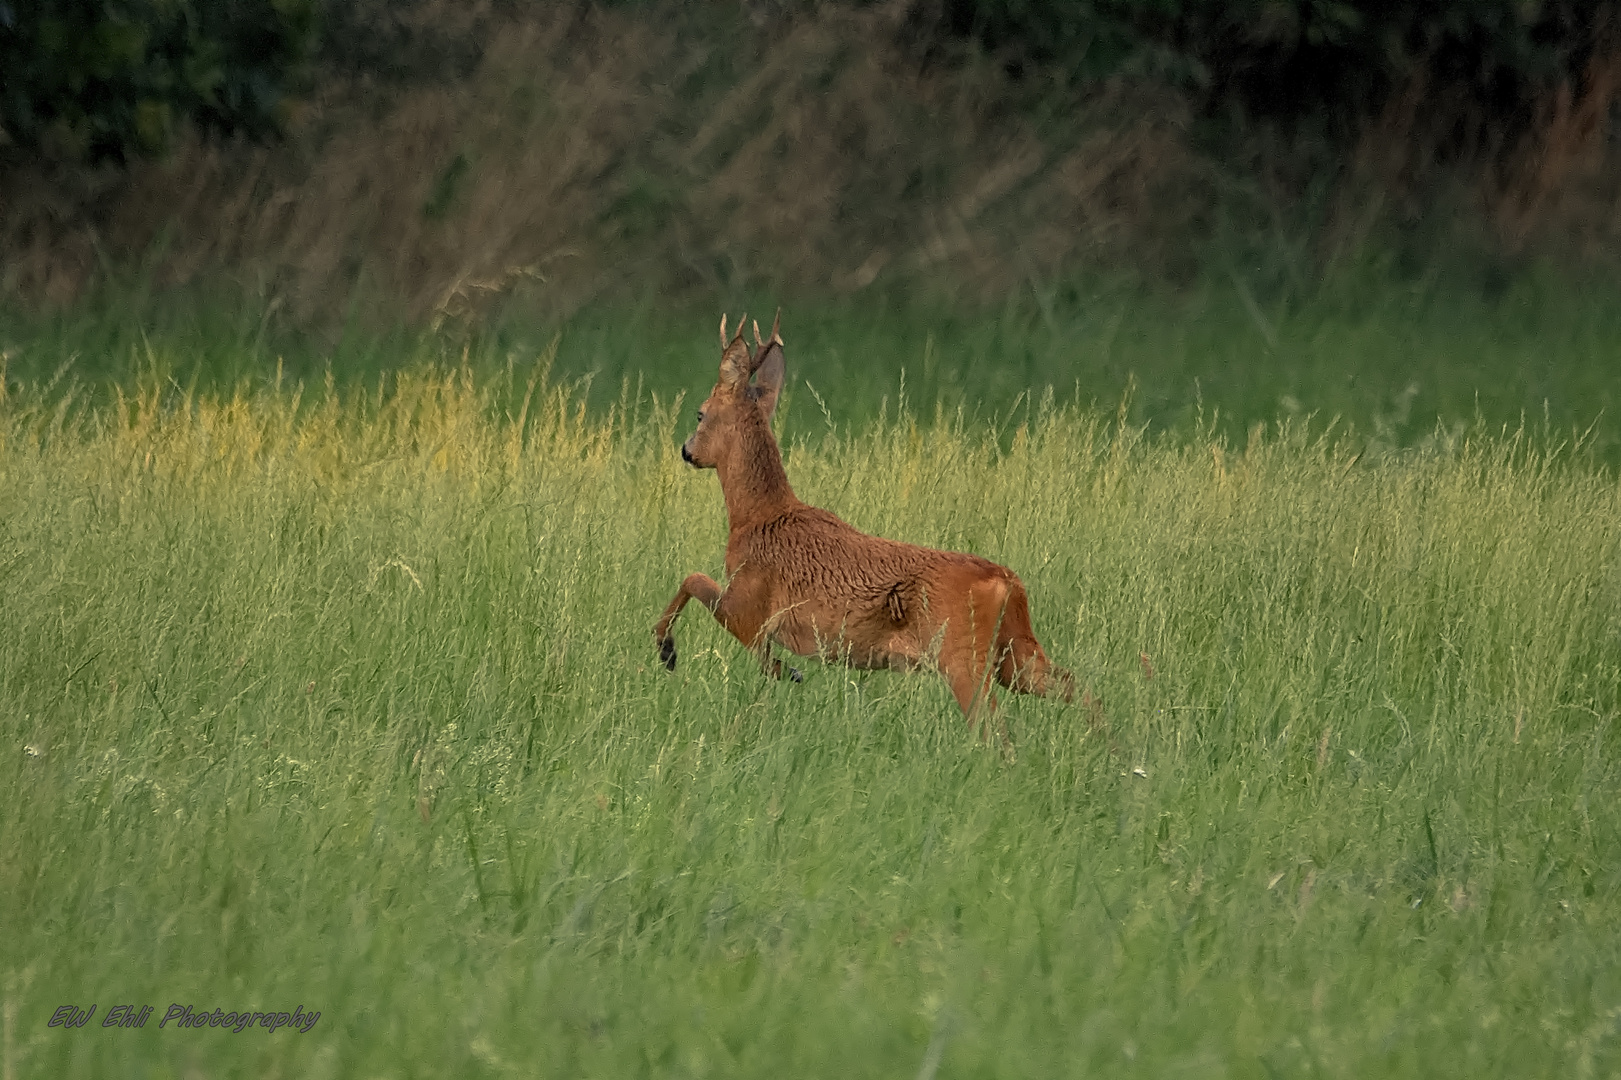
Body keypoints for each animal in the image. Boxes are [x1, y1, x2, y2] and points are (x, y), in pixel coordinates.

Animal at [648, 306, 1089, 736]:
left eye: (700, 413)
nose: (686, 450)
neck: (757, 517)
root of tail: (1008, 581)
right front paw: (782, 670)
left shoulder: (747, 605)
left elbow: (694, 580)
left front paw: (668, 649)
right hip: (1014, 655)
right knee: (1076, 687)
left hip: (963, 656)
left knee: (996, 727)